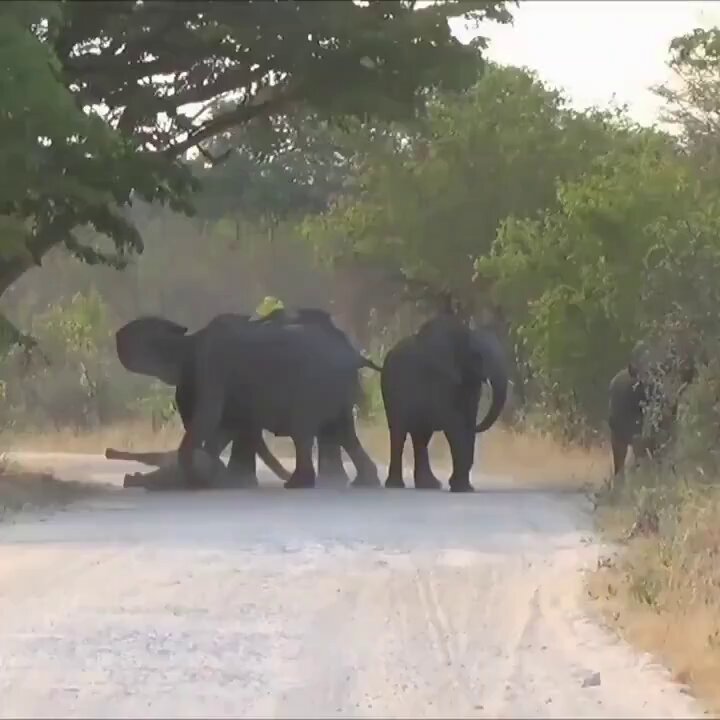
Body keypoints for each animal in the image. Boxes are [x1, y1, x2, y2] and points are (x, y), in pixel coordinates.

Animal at [115, 309, 380, 489]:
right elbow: (224, 426)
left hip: (314, 384)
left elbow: (211, 418)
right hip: (337, 387)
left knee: (303, 431)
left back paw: (296, 484)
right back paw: (364, 482)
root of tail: (355, 355)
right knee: (343, 431)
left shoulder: (212, 367)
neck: (189, 339)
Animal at [380, 312, 509, 493]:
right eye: (478, 355)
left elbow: (467, 420)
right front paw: (461, 487)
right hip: (391, 389)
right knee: (399, 431)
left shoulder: (470, 382)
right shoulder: (441, 376)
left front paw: (463, 487)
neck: (465, 334)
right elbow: (454, 423)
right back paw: (396, 485)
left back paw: (429, 485)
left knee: (421, 436)